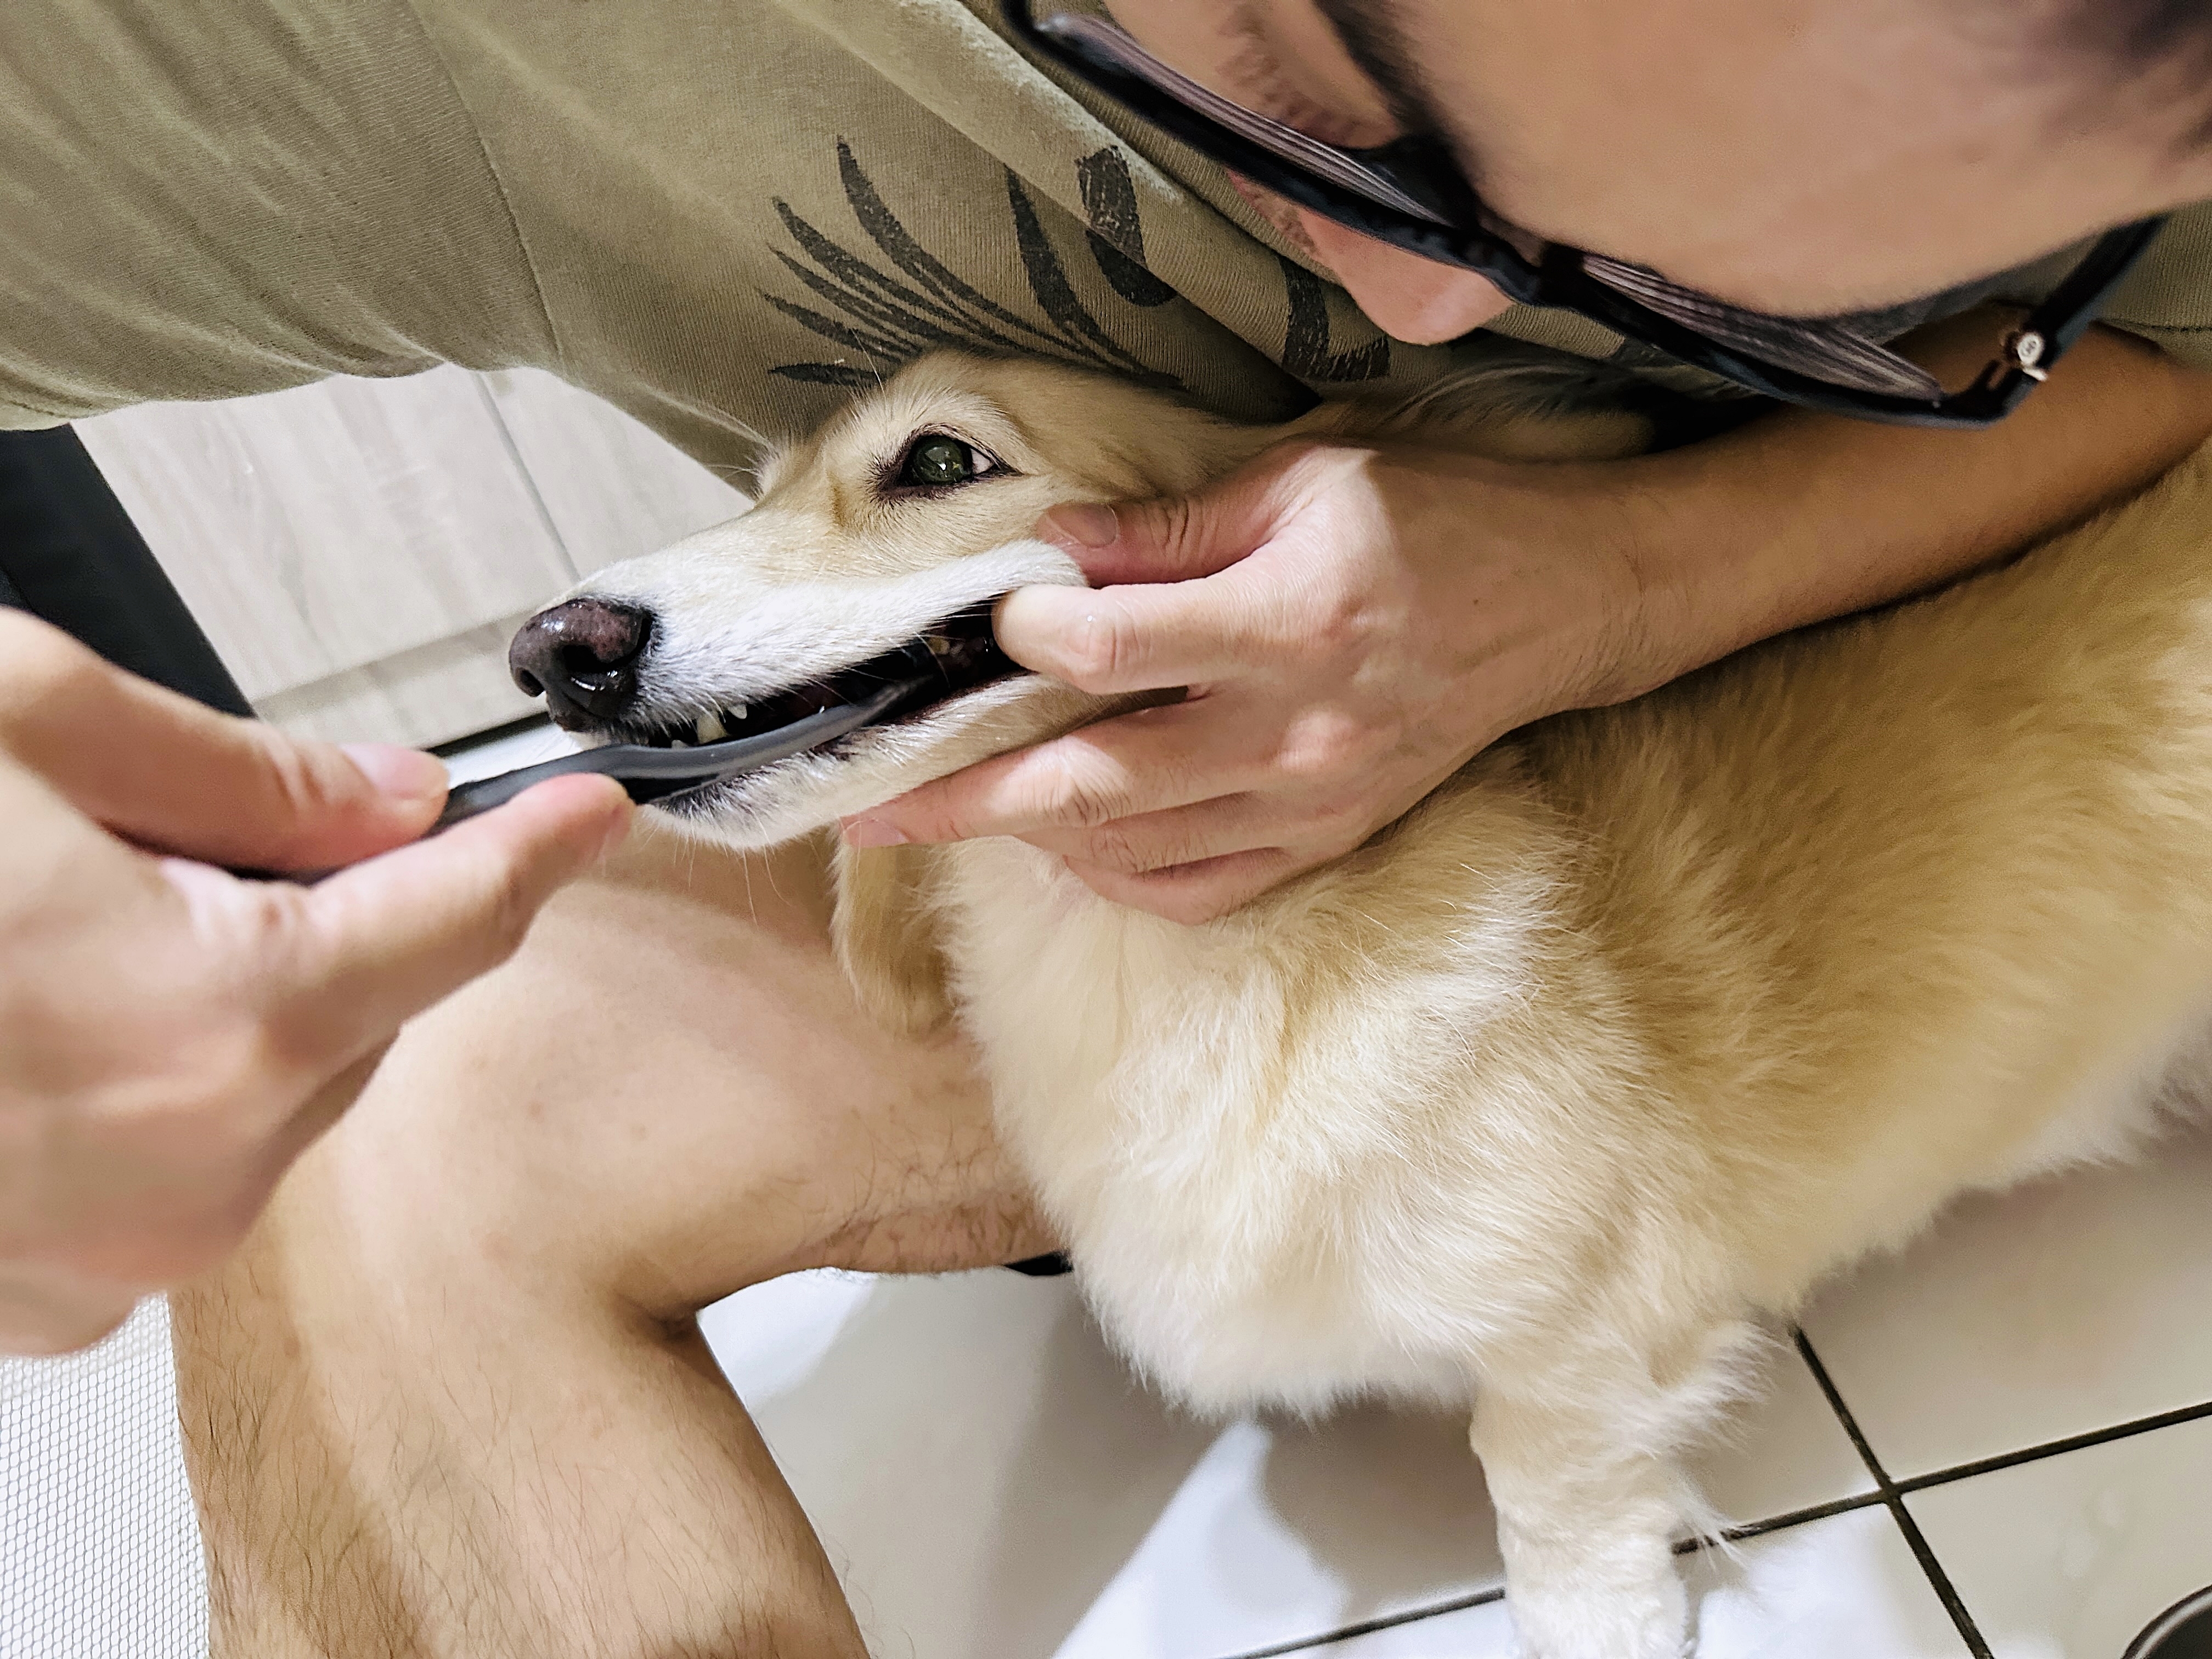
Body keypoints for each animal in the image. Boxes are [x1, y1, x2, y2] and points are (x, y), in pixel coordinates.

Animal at [506, 354, 2212, 1659]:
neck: (1156, 952)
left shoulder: (1573, 1333)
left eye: (939, 459)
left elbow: (1555, 1511)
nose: (551, 652)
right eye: (761, 488)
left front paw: (1598, 1620)